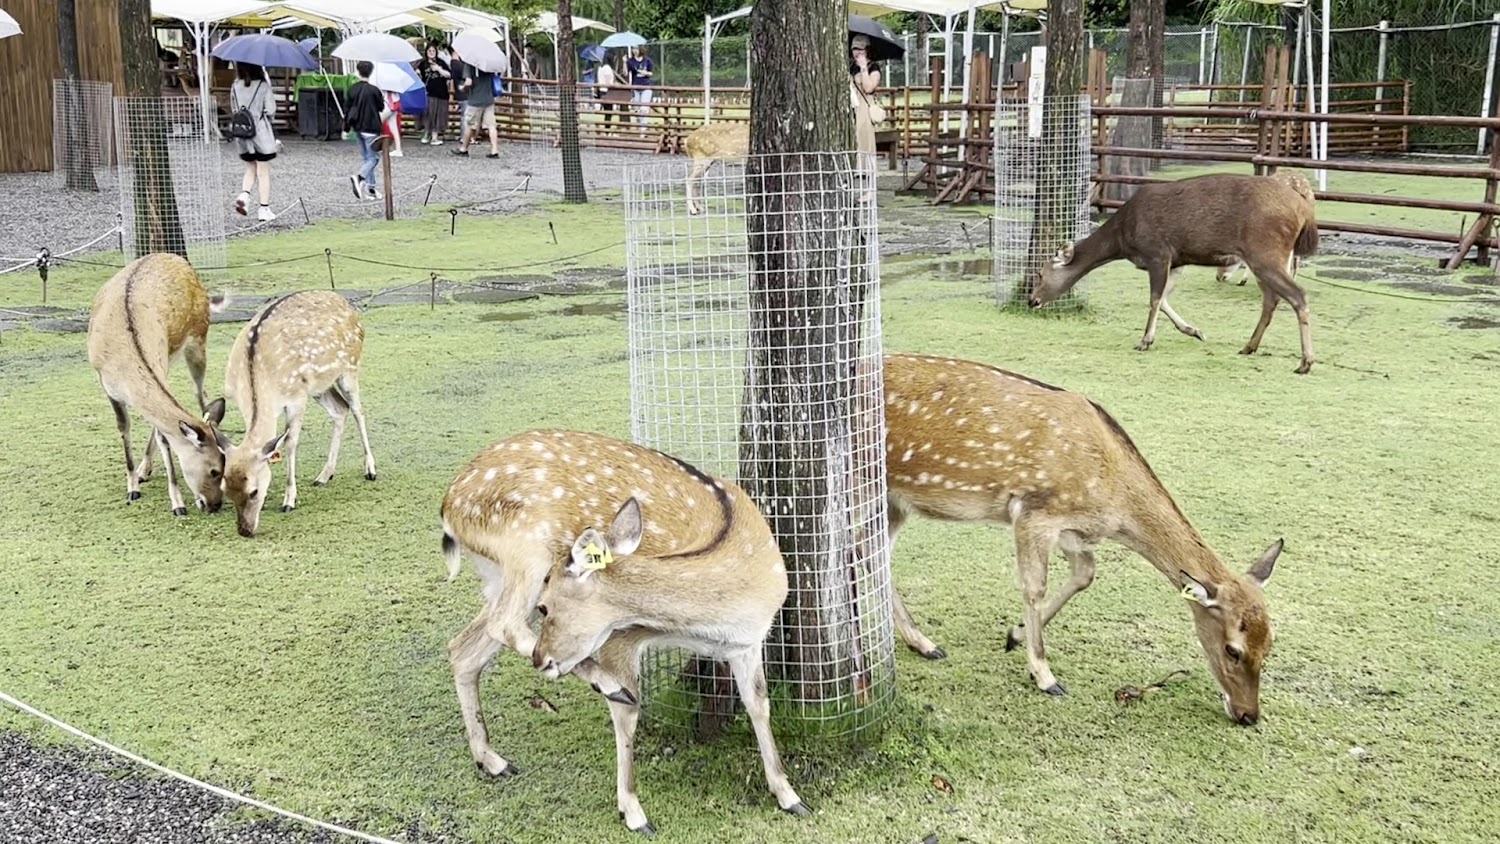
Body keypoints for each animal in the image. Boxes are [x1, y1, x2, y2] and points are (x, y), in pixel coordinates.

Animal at [86, 253, 230, 516]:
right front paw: (133, 486)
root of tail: (175, 257)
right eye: (214, 470)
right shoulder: (107, 387)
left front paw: (178, 503)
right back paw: (143, 471)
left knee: (201, 395)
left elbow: (165, 436)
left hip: (197, 339)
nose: (215, 505)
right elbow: (124, 427)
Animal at [220, 291, 377, 538]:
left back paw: (370, 469)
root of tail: (346, 304)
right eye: (225, 489)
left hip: (350, 368)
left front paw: (289, 501)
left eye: (254, 491)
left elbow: (290, 443)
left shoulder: (297, 398)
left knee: (357, 411)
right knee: (340, 409)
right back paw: (324, 475)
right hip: (320, 386)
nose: (245, 530)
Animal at [441, 429, 810, 835]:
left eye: (548, 607)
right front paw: (633, 813)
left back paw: (492, 760)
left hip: (498, 574)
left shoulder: (749, 642)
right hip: (526, 551)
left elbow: (758, 704)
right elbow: (628, 711)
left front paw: (790, 796)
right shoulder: (622, 634)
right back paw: (600, 685)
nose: (541, 660)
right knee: (501, 623)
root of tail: (448, 507)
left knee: (464, 648)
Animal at [880, 352, 1283, 725]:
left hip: (895, 503)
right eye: (1232, 649)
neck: (1112, 501)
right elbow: (1034, 588)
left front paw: (1015, 635)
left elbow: (1086, 573)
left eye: (1270, 645)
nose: (1248, 714)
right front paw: (1044, 676)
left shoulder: (1073, 529)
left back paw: (923, 643)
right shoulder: (1033, 512)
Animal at [1030, 172, 1321, 374]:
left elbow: (1154, 299)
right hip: (1270, 257)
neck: (1122, 240)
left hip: (1265, 252)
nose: (1032, 300)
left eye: (1041, 273)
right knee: (1272, 299)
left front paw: (1145, 340)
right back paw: (1249, 346)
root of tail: (1304, 211)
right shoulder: (1177, 260)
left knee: (1298, 295)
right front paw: (1194, 331)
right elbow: (1165, 299)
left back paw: (1305, 362)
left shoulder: (1157, 253)